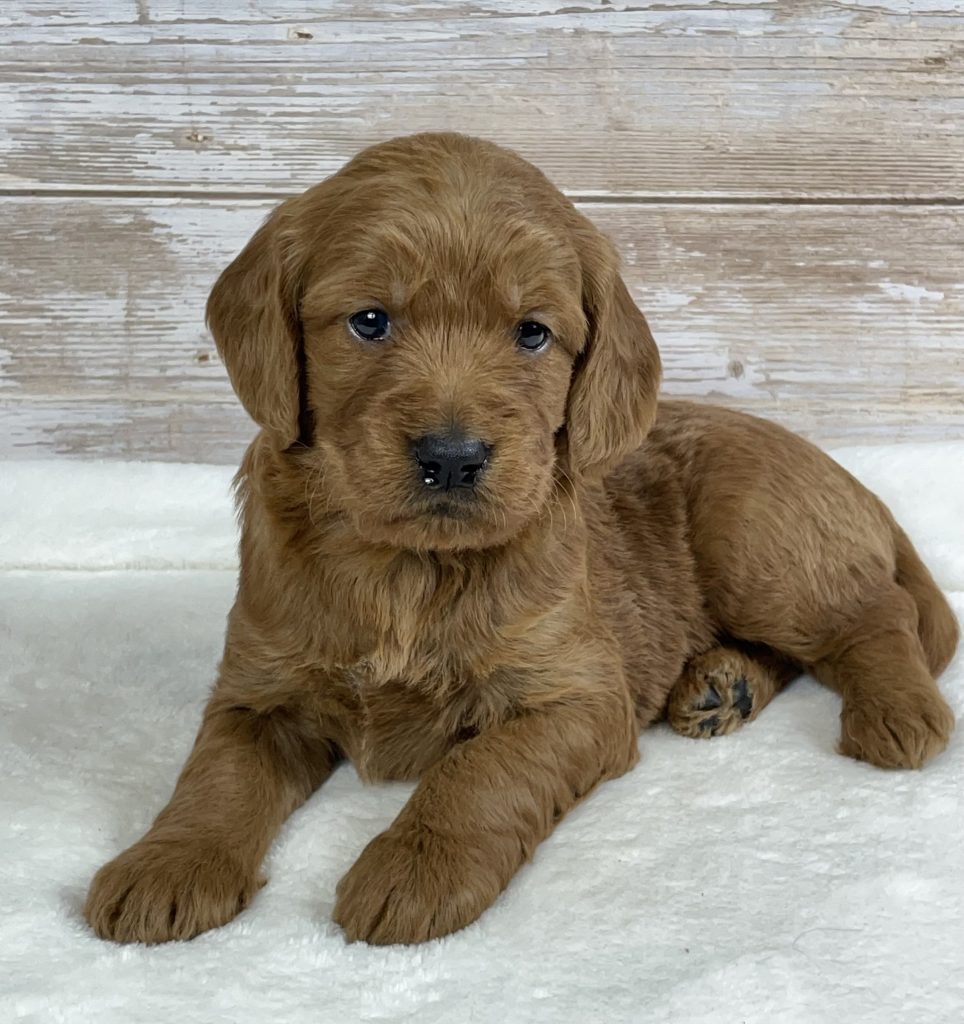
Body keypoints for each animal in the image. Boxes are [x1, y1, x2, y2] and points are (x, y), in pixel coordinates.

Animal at [84, 132, 958, 947]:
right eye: (369, 321)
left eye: (533, 334)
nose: (451, 457)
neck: (409, 570)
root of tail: (850, 480)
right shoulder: (258, 687)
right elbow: (215, 774)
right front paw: (169, 862)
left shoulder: (578, 694)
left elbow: (481, 769)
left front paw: (415, 868)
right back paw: (721, 685)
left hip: (752, 538)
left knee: (875, 617)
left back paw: (898, 711)